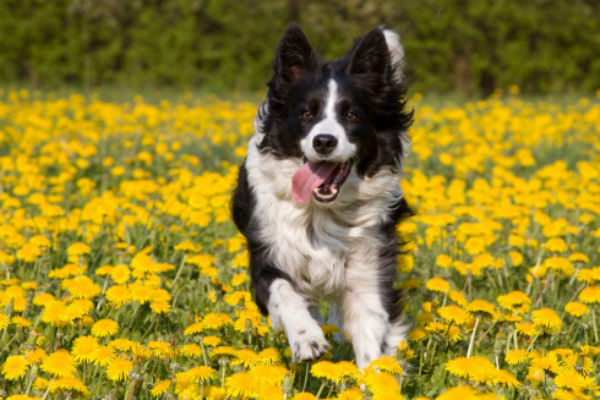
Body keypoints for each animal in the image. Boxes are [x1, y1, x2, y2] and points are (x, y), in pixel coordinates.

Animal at [233, 25, 412, 368]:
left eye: (352, 115)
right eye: (306, 113)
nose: (324, 141)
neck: (321, 211)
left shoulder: (368, 266)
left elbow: (371, 338)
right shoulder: (267, 253)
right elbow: (284, 292)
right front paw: (307, 339)